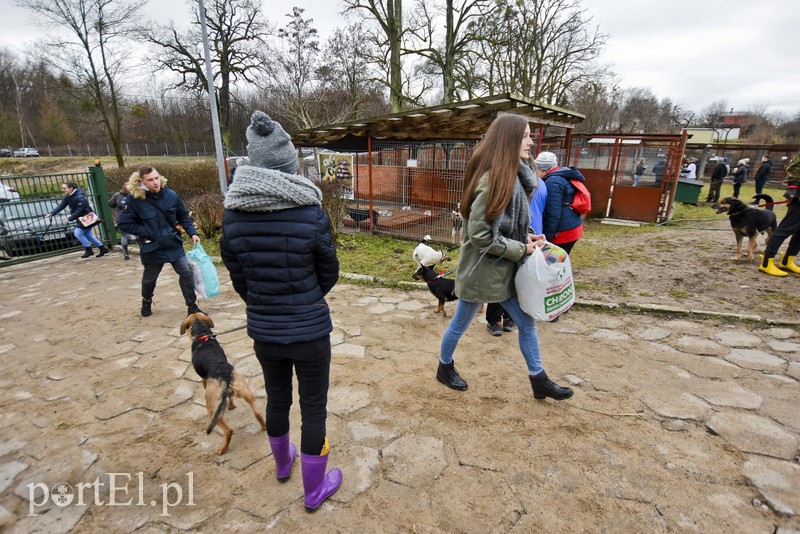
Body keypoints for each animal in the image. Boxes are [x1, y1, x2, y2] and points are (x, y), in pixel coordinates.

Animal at [180, 314, 266, 456]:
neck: (203, 335)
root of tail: (226, 378)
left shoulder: (204, 380)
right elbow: (230, 400)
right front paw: (231, 406)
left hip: (212, 409)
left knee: (228, 430)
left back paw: (222, 449)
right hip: (246, 392)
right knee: (258, 413)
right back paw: (264, 426)